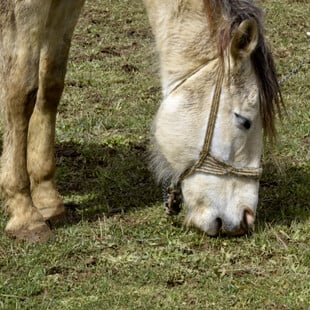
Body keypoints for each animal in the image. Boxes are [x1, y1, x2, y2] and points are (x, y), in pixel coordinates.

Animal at [0, 0, 280, 242]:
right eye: (244, 120)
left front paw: (48, 199)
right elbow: (22, 93)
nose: (245, 218)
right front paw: (25, 215)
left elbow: (50, 86)